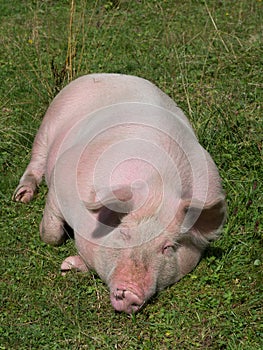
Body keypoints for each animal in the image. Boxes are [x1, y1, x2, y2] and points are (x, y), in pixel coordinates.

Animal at [12, 72, 227, 314]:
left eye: (167, 247)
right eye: (124, 233)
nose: (130, 292)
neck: (157, 188)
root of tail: (110, 75)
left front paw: (68, 265)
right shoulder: (62, 175)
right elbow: (50, 234)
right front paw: (64, 264)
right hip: (49, 121)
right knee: (36, 159)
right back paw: (21, 196)